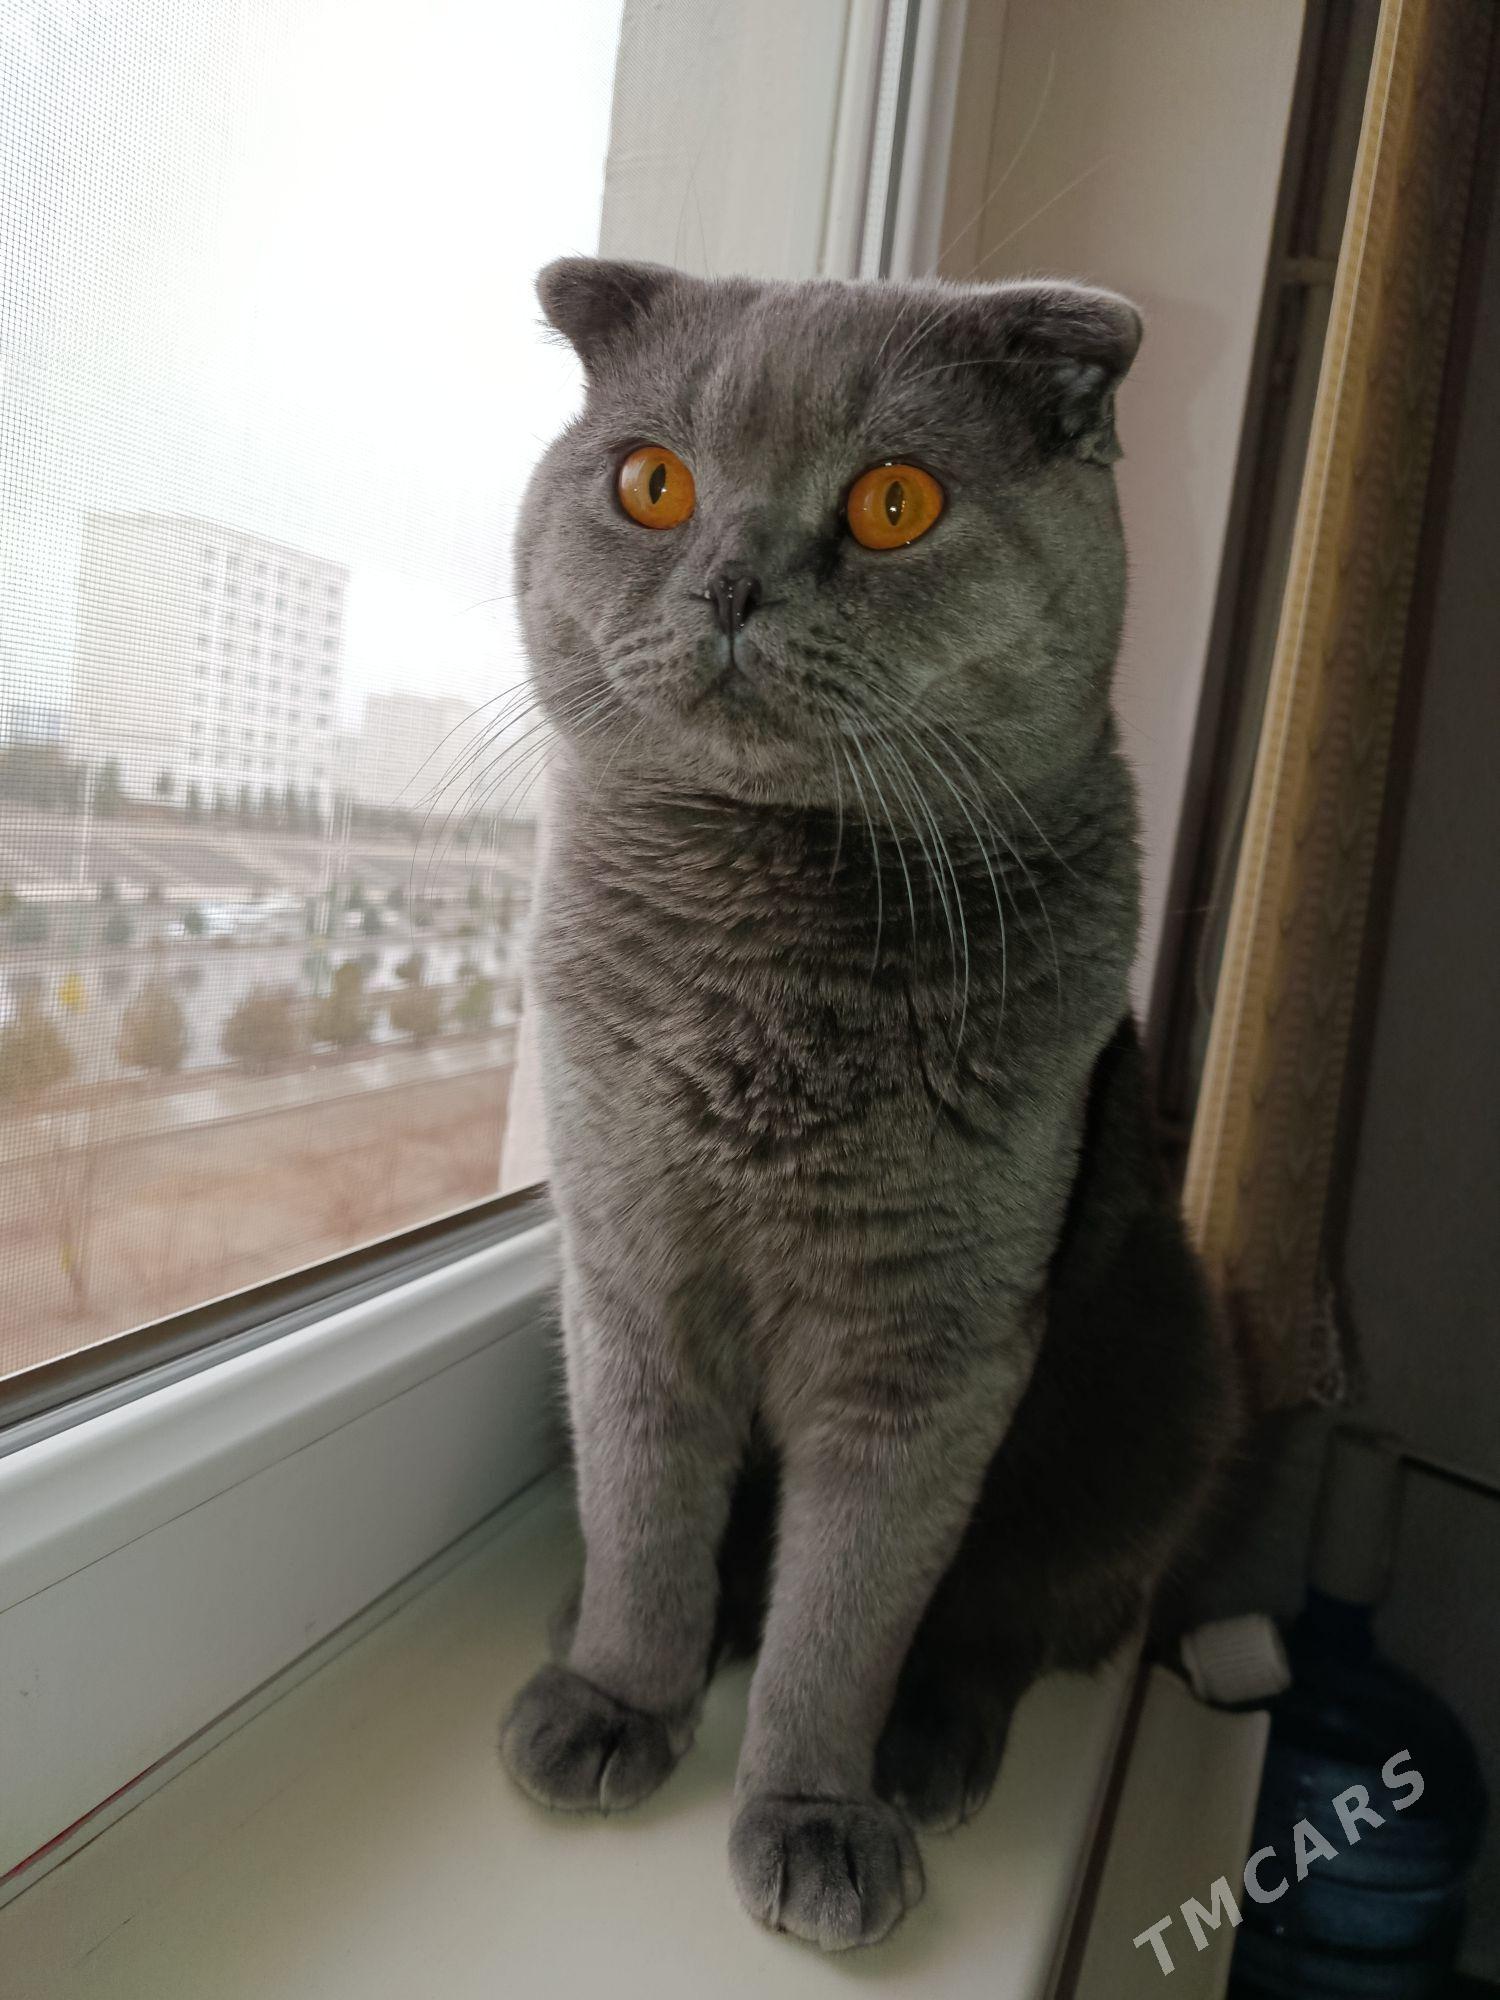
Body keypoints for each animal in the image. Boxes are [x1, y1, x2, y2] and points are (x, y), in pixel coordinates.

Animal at [498, 256, 1241, 1951]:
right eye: (652, 483)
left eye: (896, 503)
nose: (727, 582)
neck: (757, 956)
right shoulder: (624, 1265)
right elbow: (644, 1504)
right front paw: (618, 1692)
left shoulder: (932, 1346)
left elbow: (849, 1611)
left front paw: (815, 1812)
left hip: (1156, 1384)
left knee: (1017, 1616)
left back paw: (931, 1749)